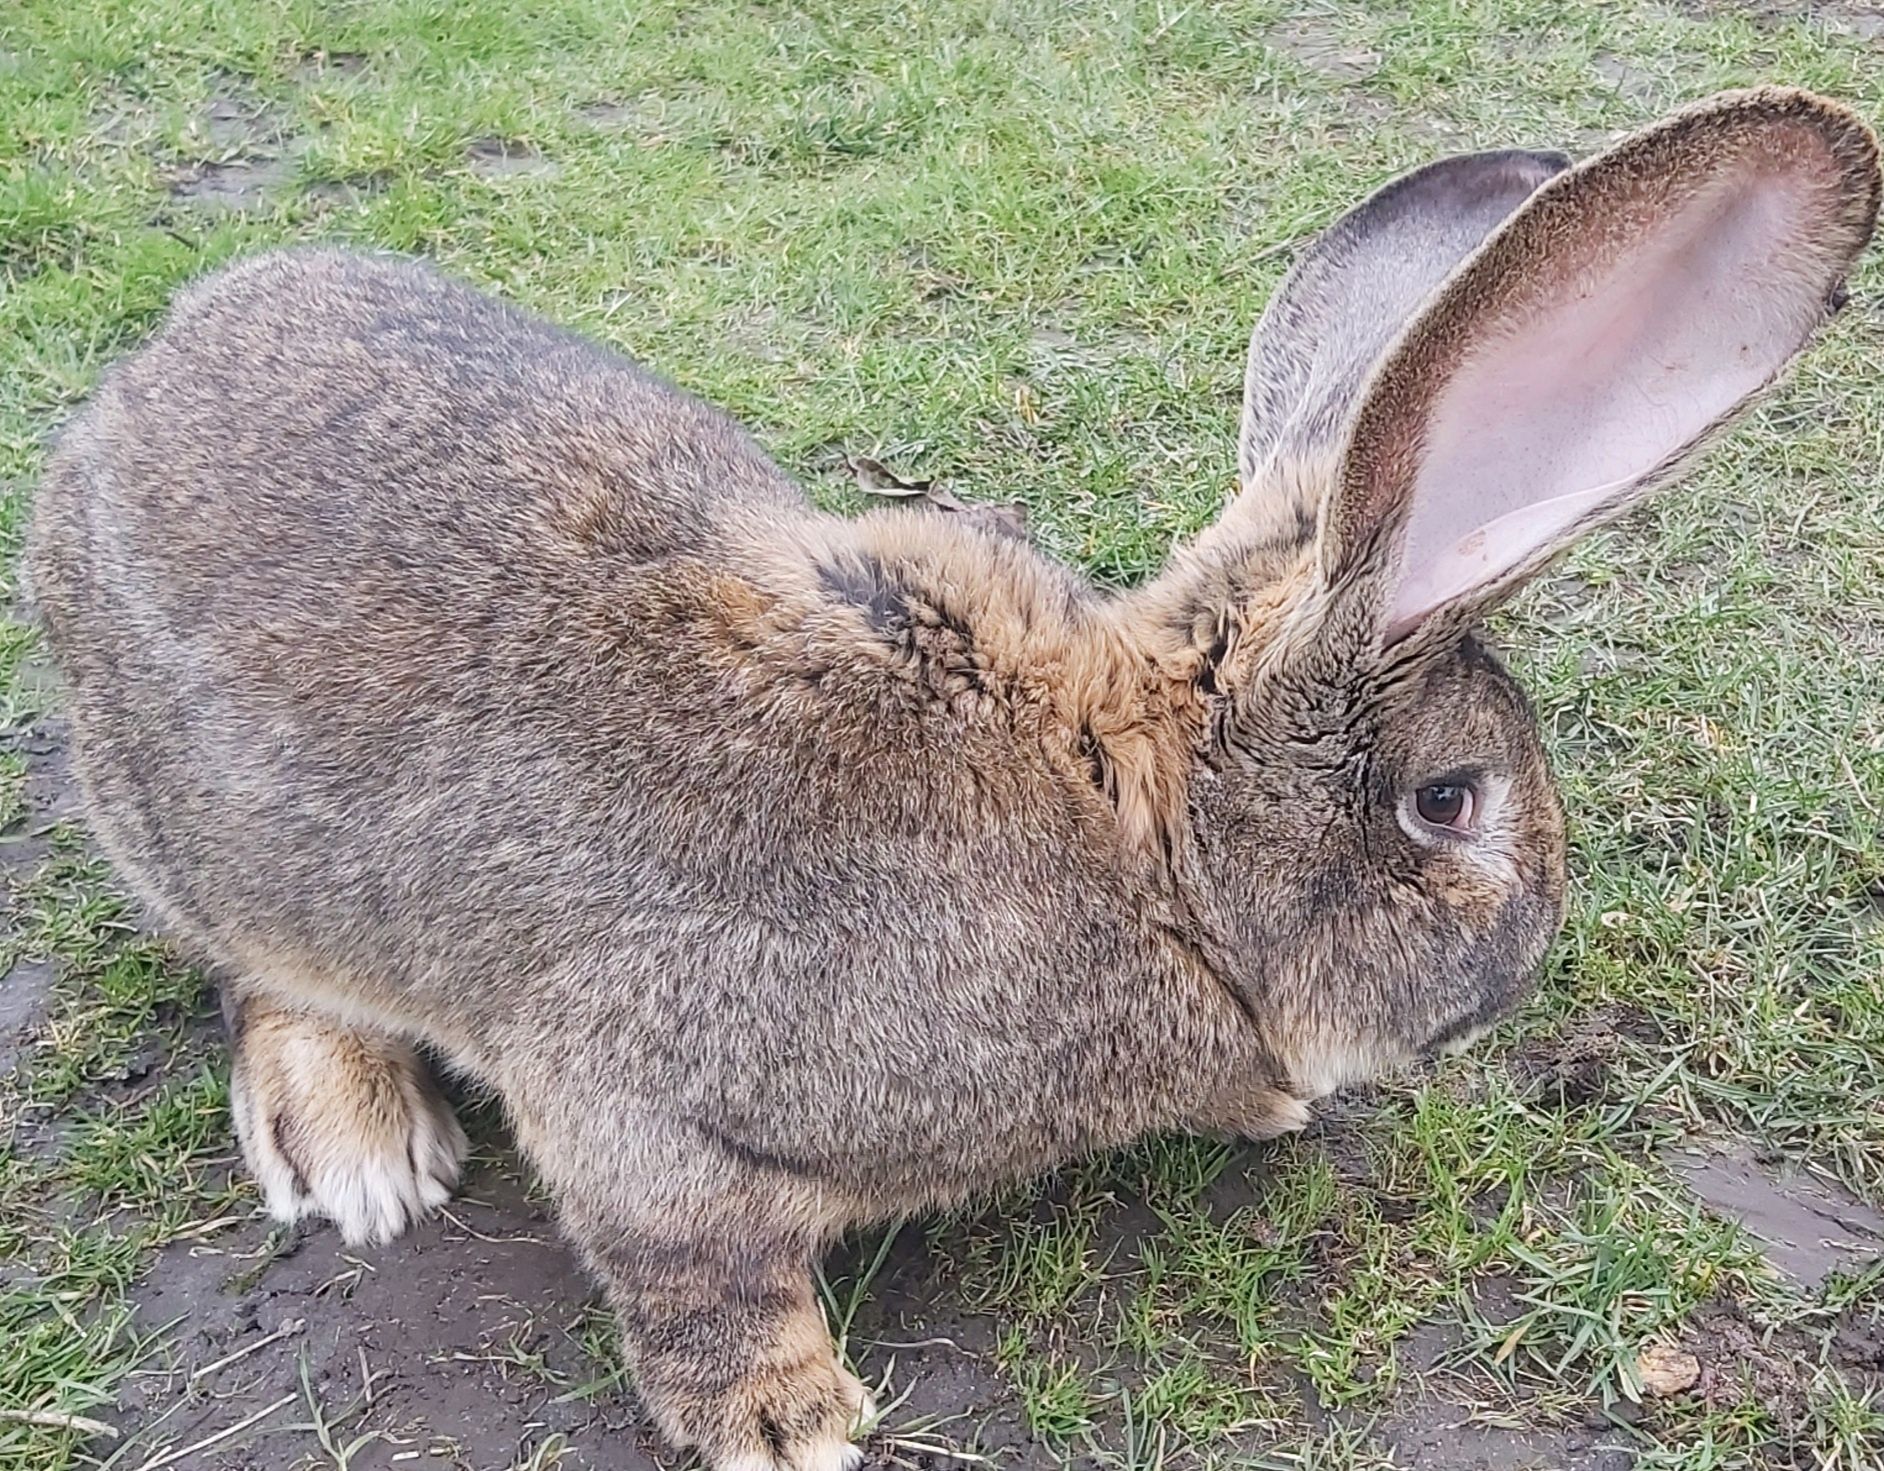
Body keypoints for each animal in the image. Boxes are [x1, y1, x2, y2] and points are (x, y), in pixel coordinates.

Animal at [22, 88, 1876, 1469]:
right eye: (1450, 805)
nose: (1533, 954)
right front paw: (788, 1420)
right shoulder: (645, 1099)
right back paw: (354, 1149)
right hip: (198, 834)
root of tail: (123, 395)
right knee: (257, 972)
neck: (1141, 839)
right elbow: (687, 1259)